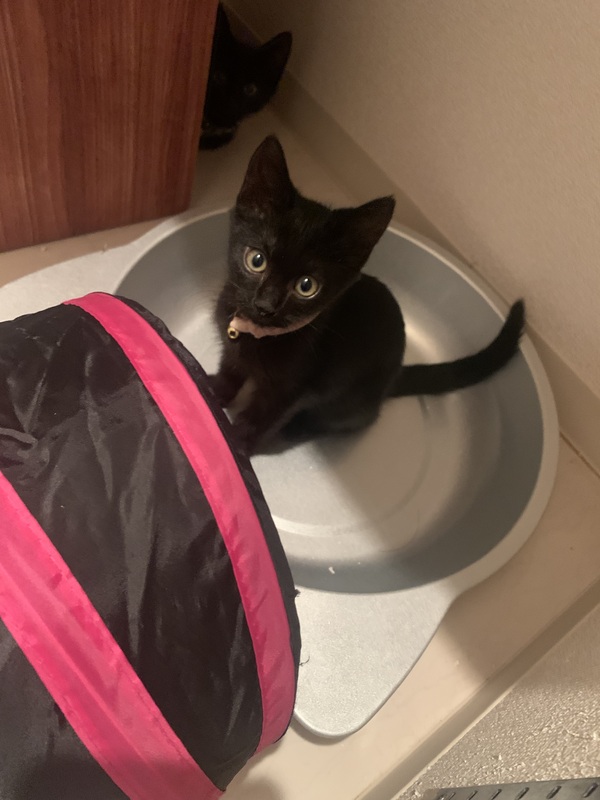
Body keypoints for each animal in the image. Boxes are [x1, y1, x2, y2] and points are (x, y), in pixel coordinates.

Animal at [209, 135, 525, 455]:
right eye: (256, 260)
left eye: (306, 286)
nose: (266, 305)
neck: (256, 333)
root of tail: (391, 380)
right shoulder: (232, 351)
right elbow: (230, 371)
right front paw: (211, 391)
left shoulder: (289, 391)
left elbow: (259, 419)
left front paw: (235, 447)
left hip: (347, 403)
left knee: (349, 420)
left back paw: (296, 428)